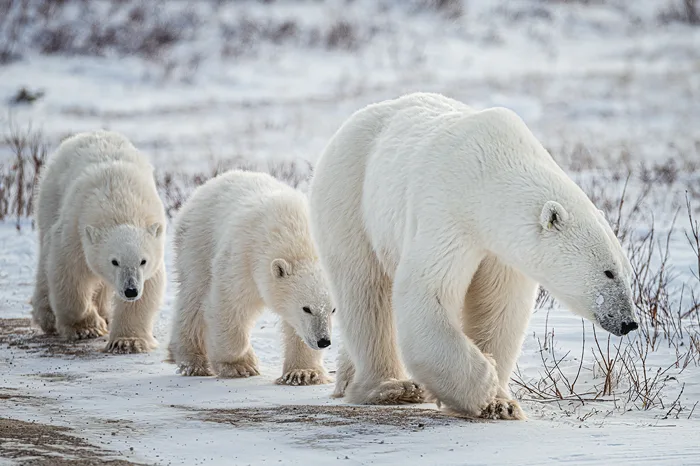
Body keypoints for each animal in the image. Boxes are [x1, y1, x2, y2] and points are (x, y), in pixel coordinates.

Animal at [31, 131, 167, 354]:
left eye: (143, 261)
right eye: (114, 261)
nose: (130, 290)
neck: (120, 204)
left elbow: (148, 287)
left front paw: (128, 341)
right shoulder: (75, 230)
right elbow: (70, 272)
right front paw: (87, 328)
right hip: (51, 197)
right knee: (45, 255)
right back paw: (48, 316)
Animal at [312, 93, 640, 420]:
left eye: (627, 272)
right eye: (608, 271)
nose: (629, 322)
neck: (491, 172)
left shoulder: (502, 250)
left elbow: (498, 305)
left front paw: (501, 403)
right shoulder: (447, 213)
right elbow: (428, 290)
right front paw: (483, 384)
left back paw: (348, 380)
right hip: (350, 194)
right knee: (366, 289)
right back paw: (390, 387)